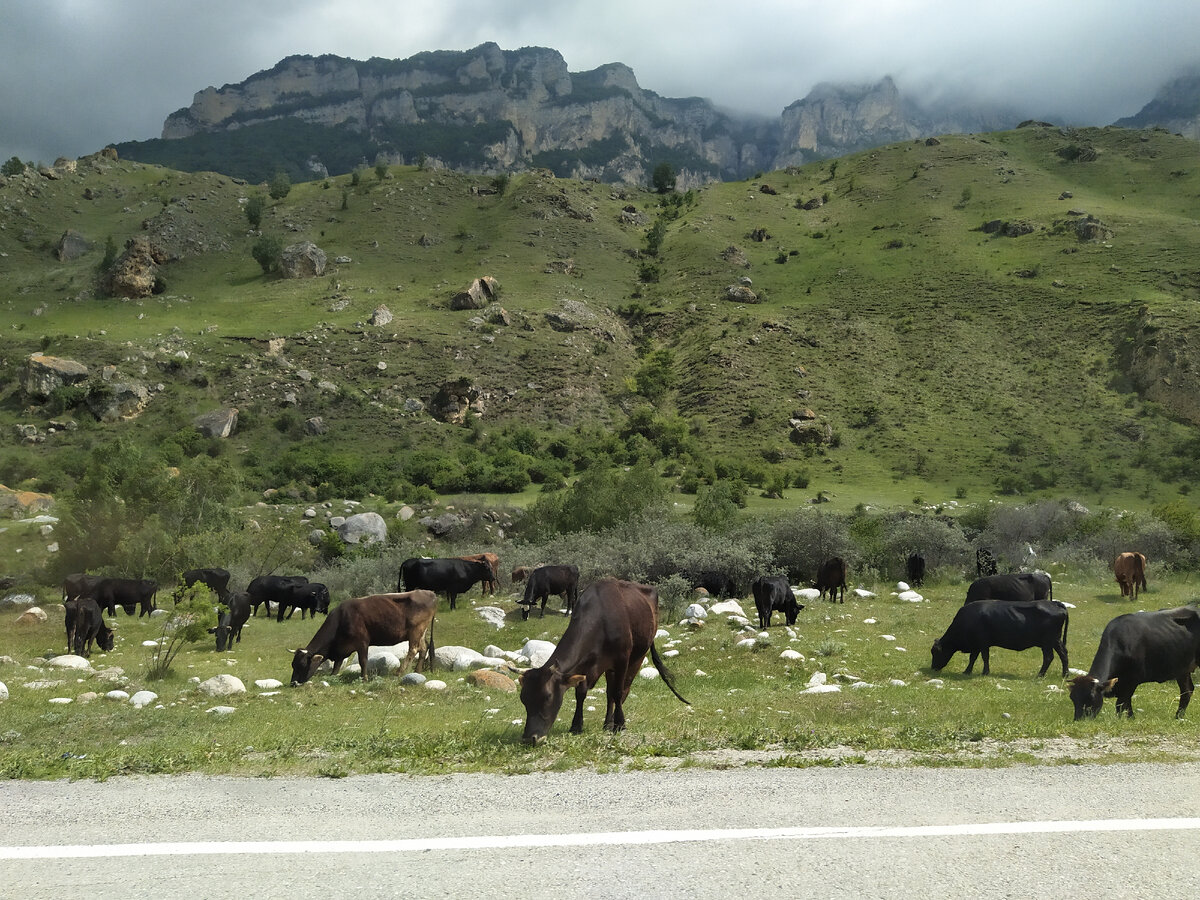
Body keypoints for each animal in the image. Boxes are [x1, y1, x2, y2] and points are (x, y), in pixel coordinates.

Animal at [291, 588, 439, 686]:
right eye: (293, 664)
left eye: (302, 665)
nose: (293, 683)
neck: (342, 618)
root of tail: (429, 593)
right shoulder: (341, 649)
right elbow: (337, 665)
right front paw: (332, 676)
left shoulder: (362, 642)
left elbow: (363, 661)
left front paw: (364, 678)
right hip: (421, 632)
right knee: (423, 648)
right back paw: (417, 671)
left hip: (416, 630)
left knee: (413, 649)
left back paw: (399, 672)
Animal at [518, 578, 696, 748]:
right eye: (523, 699)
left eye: (547, 697)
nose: (529, 738)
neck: (601, 620)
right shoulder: (585, 665)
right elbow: (581, 693)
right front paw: (576, 725)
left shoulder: (622, 660)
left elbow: (617, 692)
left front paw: (620, 724)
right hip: (611, 668)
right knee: (609, 693)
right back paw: (607, 723)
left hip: (637, 657)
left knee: (622, 690)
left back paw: (614, 721)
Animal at [926, 602, 1070, 681]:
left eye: (935, 652)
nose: (933, 668)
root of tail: (1055, 603)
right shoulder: (977, 645)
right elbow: (973, 658)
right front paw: (967, 671)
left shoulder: (982, 643)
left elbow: (984, 657)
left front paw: (985, 672)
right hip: (1056, 641)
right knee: (1064, 654)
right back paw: (1065, 674)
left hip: (1047, 642)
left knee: (1048, 657)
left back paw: (1039, 675)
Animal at [1070, 602, 1200, 724]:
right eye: (1072, 698)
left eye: (1091, 698)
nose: (1079, 720)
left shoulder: (1132, 681)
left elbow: (1122, 704)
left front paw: (1129, 719)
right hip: (1182, 668)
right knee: (1187, 691)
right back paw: (1178, 717)